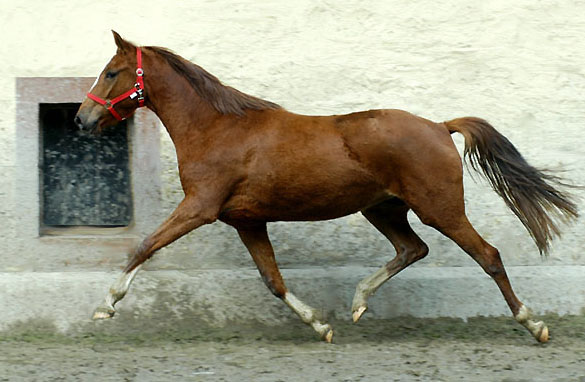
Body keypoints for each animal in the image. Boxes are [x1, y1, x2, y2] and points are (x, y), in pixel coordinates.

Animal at [75, 32, 576, 344]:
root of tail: (439, 126)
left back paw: (534, 325)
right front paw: (321, 326)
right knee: (412, 249)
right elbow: (273, 280)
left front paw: (105, 306)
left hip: (440, 209)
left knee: (487, 255)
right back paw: (357, 303)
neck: (217, 128)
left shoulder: (200, 207)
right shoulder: (246, 220)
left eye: (112, 72)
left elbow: (144, 246)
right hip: (383, 209)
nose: (82, 119)